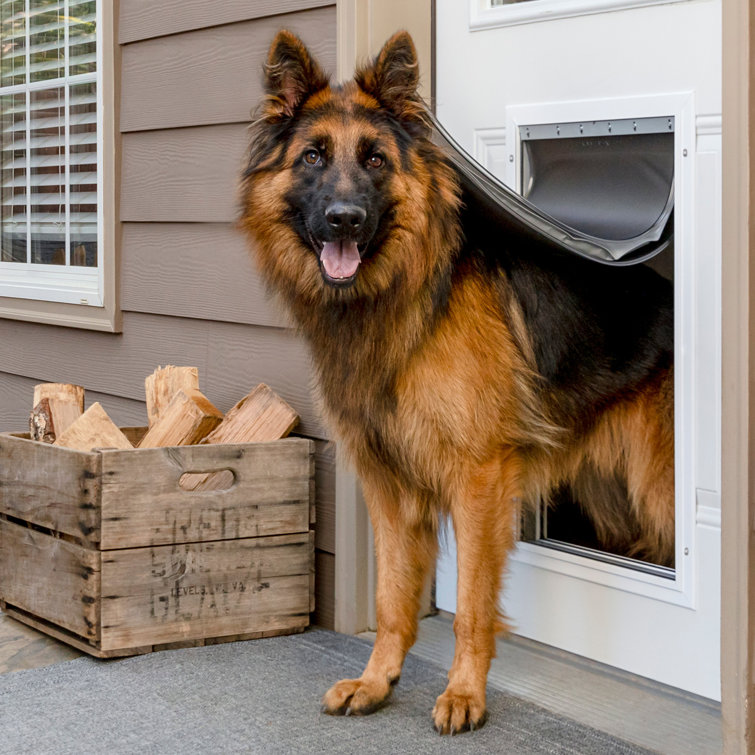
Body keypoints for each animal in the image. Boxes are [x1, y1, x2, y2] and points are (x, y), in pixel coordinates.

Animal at [241, 29, 672, 732]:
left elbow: (471, 604)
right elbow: (391, 599)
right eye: (312, 157)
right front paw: (377, 681)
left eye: (375, 160)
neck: (400, 303)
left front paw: (465, 694)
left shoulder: (479, 480)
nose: (344, 219)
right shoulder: (387, 486)